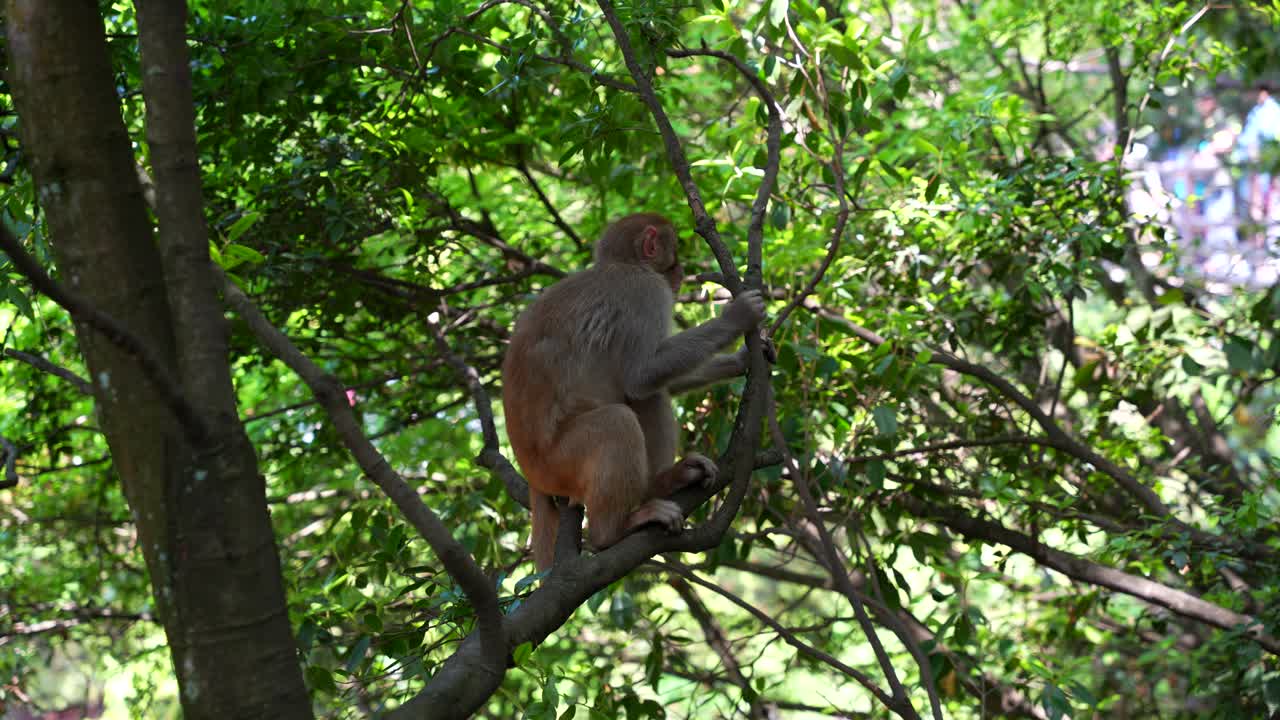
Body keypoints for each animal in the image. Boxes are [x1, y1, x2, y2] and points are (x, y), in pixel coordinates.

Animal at [502, 212, 766, 570]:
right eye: (673, 257)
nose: (681, 274)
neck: (621, 264)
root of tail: (531, 474)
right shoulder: (646, 292)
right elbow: (640, 375)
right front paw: (737, 318)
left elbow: (654, 382)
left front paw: (742, 359)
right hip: (560, 463)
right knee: (619, 420)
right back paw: (613, 530)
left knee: (646, 400)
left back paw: (663, 482)